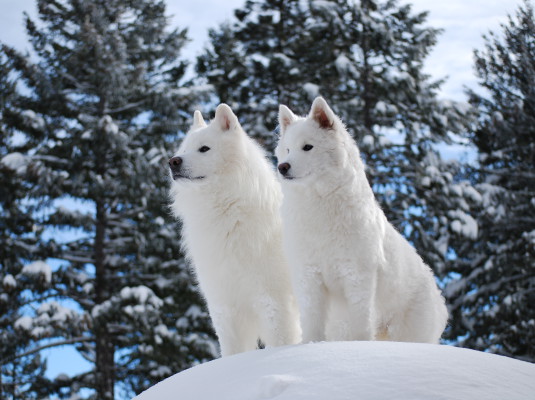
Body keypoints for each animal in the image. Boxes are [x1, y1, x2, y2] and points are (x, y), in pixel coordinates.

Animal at [170, 103, 302, 356]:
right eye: (184, 149)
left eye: (204, 149)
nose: (173, 161)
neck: (229, 214)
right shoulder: (224, 305)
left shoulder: (274, 301)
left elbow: (281, 342)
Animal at [276, 97, 448, 344]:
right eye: (287, 149)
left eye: (308, 147)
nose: (283, 167)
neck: (319, 205)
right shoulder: (309, 276)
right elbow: (312, 320)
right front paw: (311, 344)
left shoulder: (357, 276)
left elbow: (360, 320)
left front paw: (359, 344)